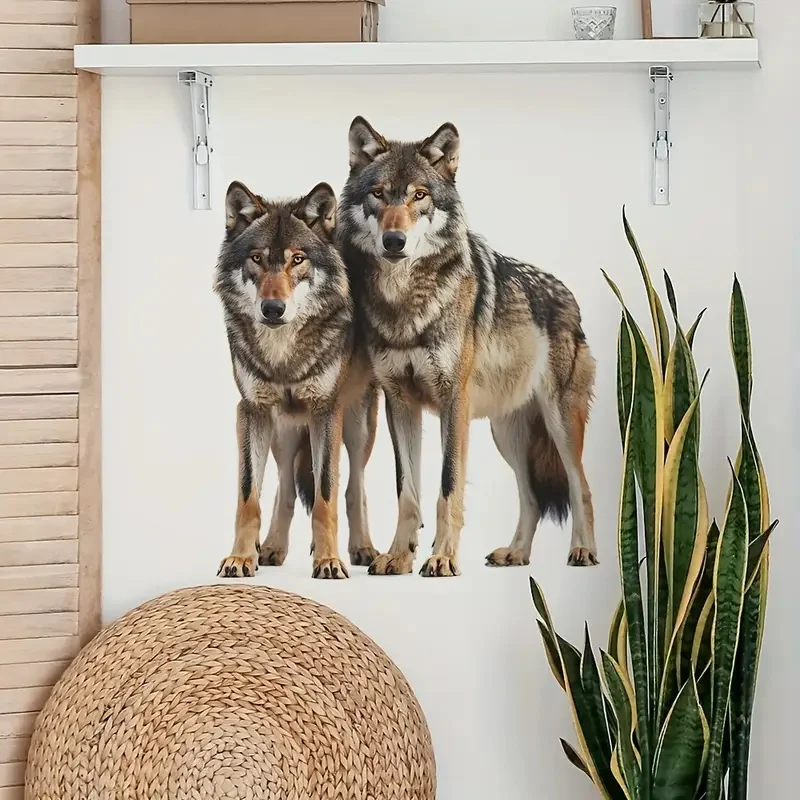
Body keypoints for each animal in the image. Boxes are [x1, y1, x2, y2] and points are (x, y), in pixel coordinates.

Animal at [214, 180, 379, 580]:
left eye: (298, 259)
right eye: (257, 258)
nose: (273, 309)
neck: (283, 356)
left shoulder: (325, 411)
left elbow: (326, 495)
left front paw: (329, 560)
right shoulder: (252, 411)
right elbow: (249, 496)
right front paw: (241, 558)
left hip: (357, 429)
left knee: (354, 488)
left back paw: (362, 549)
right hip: (284, 431)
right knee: (285, 488)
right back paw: (272, 548)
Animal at [337, 116, 598, 577]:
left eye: (419, 196)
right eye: (379, 194)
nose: (394, 241)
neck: (406, 303)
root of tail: (568, 297)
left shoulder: (453, 404)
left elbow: (448, 486)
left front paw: (442, 557)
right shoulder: (398, 403)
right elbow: (407, 491)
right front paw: (398, 556)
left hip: (559, 425)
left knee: (580, 486)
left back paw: (582, 551)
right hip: (507, 435)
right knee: (531, 497)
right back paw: (515, 553)